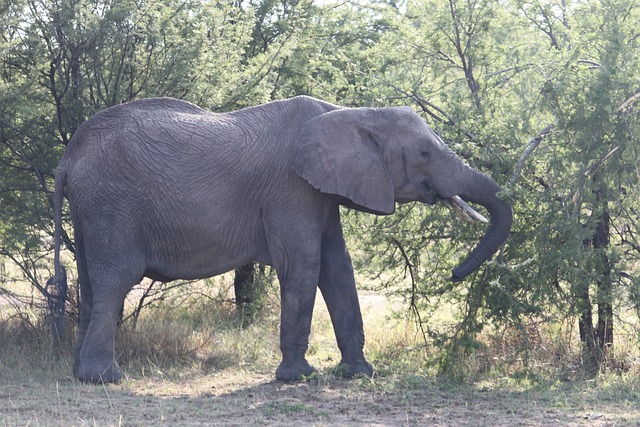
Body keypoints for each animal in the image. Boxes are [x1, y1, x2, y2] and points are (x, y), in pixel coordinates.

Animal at [47, 97, 512, 384]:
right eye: (425, 154)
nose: (455, 274)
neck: (350, 113)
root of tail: (67, 159)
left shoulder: (323, 189)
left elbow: (338, 266)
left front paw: (360, 374)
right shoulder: (291, 188)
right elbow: (304, 264)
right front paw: (299, 378)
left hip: (91, 211)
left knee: (90, 282)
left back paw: (77, 373)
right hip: (112, 206)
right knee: (114, 281)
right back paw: (104, 379)